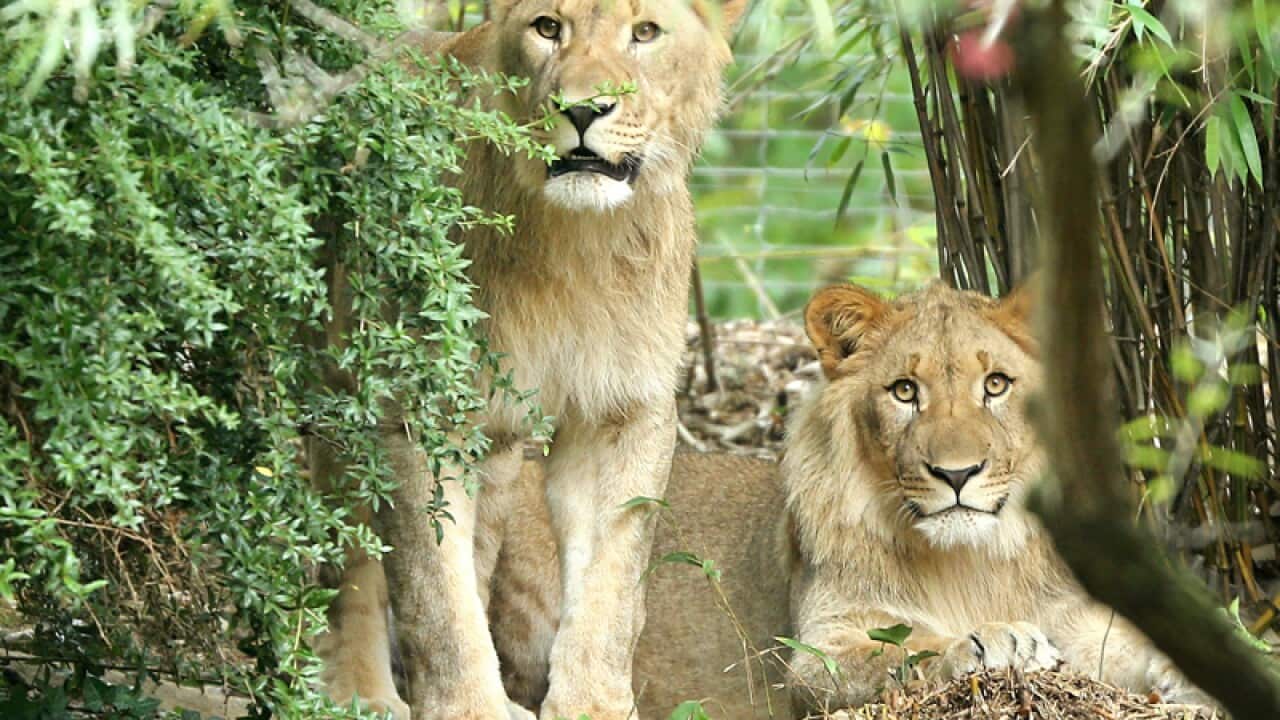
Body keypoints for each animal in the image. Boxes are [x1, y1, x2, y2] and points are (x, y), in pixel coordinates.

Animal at [313, 1, 746, 719]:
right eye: (547, 27)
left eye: (645, 33)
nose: (583, 109)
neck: (578, 242)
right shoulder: (423, 411)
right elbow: (433, 589)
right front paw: (465, 708)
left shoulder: (620, 410)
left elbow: (611, 584)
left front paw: (593, 705)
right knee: (345, 552)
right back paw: (359, 693)